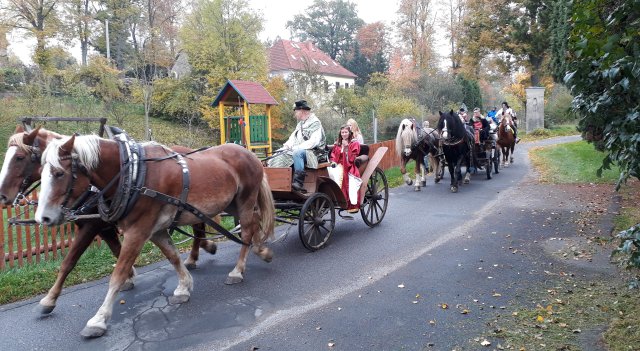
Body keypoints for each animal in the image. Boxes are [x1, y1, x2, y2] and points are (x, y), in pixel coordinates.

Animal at [0, 126, 218, 316]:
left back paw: (196, 255)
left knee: (198, 227)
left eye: (19, 157)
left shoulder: (91, 226)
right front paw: (130, 276)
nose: (2, 196)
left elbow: (69, 261)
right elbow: (117, 250)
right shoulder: (104, 227)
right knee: (198, 227)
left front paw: (49, 299)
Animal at [34, 136, 276, 340]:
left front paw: (99, 320)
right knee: (254, 224)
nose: (42, 218)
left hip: (245, 200)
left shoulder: (137, 232)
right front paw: (184, 286)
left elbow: (118, 274)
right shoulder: (155, 231)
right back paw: (261, 250)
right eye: (41, 173)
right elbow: (173, 256)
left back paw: (237, 270)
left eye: (59, 173)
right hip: (232, 204)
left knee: (247, 230)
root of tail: (249, 153)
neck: (133, 175)